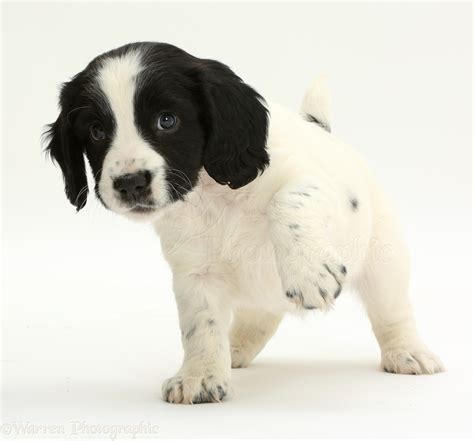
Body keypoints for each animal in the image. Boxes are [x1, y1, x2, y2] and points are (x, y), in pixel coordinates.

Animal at [44, 41, 444, 402]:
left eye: (167, 120)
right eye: (96, 131)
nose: (129, 183)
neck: (211, 193)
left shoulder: (311, 182)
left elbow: (287, 202)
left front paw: (309, 272)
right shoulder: (195, 273)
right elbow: (201, 324)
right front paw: (201, 375)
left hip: (385, 261)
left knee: (392, 312)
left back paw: (407, 353)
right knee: (261, 318)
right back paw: (233, 349)